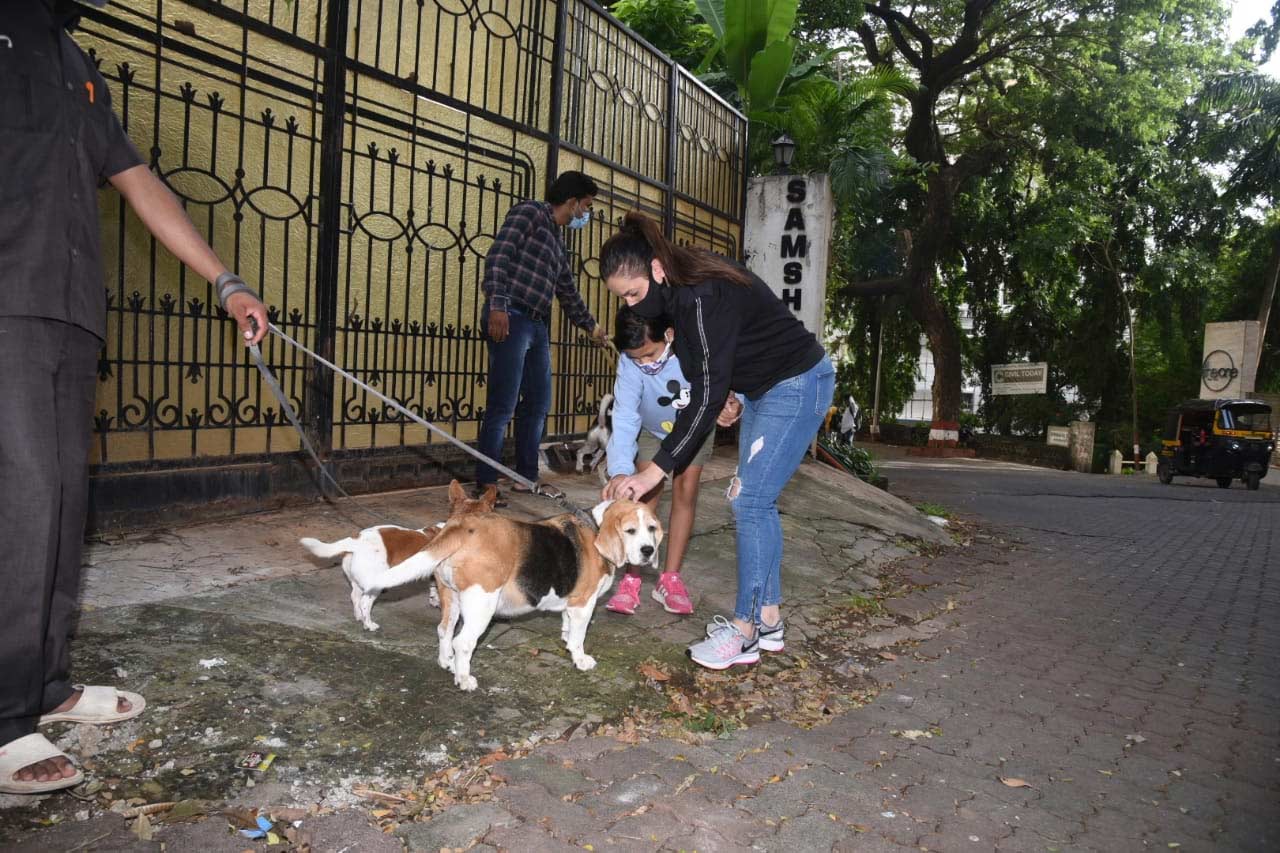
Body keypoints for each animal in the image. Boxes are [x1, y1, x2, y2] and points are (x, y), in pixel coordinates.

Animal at [302, 479, 496, 630]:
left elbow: (433, 587)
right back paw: (369, 624)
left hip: (357, 581)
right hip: (374, 584)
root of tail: (356, 540)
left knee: (355, 597)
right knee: (365, 602)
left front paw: (434, 600)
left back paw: (359, 617)